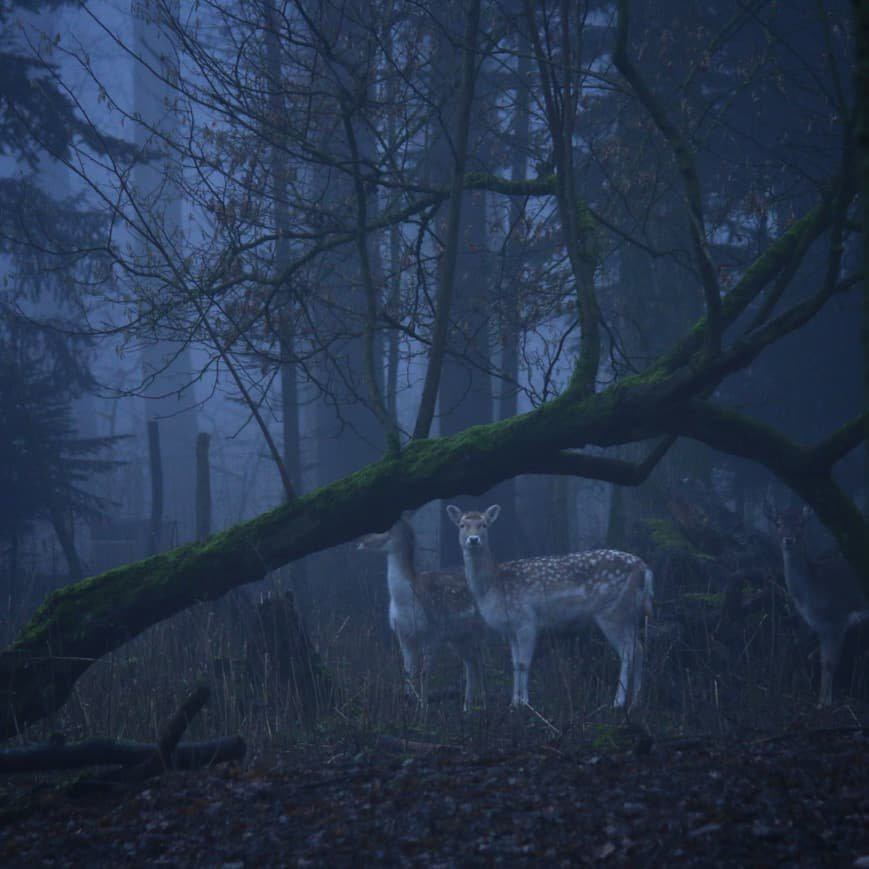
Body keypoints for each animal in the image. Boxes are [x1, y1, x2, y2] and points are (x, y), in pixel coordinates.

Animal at [356, 516, 484, 712]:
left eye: (383, 527)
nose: (362, 540)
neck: (405, 602)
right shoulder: (403, 636)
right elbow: (409, 671)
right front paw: (408, 702)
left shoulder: (433, 634)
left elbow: (425, 672)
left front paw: (423, 708)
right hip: (458, 637)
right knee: (472, 662)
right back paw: (467, 707)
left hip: (475, 629)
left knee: (480, 659)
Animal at [448, 506, 652, 708]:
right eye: (462, 525)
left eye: (483, 524)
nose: (473, 539)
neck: (493, 587)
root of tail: (645, 569)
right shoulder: (511, 629)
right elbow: (514, 664)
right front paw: (513, 703)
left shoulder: (526, 620)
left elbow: (524, 663)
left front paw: (524, 702)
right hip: (628, 613)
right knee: (639, 648)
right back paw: (637, 700)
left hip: (611, 610)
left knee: (627, 651)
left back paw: (618, 701)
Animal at [768, 502, 868, 704]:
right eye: (778, 523)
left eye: (800, 523)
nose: (788, 539)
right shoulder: (821, 626)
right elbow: (818, 659)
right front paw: (822, 698)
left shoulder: (837, 619)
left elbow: (830, 662)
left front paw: (824, 702)